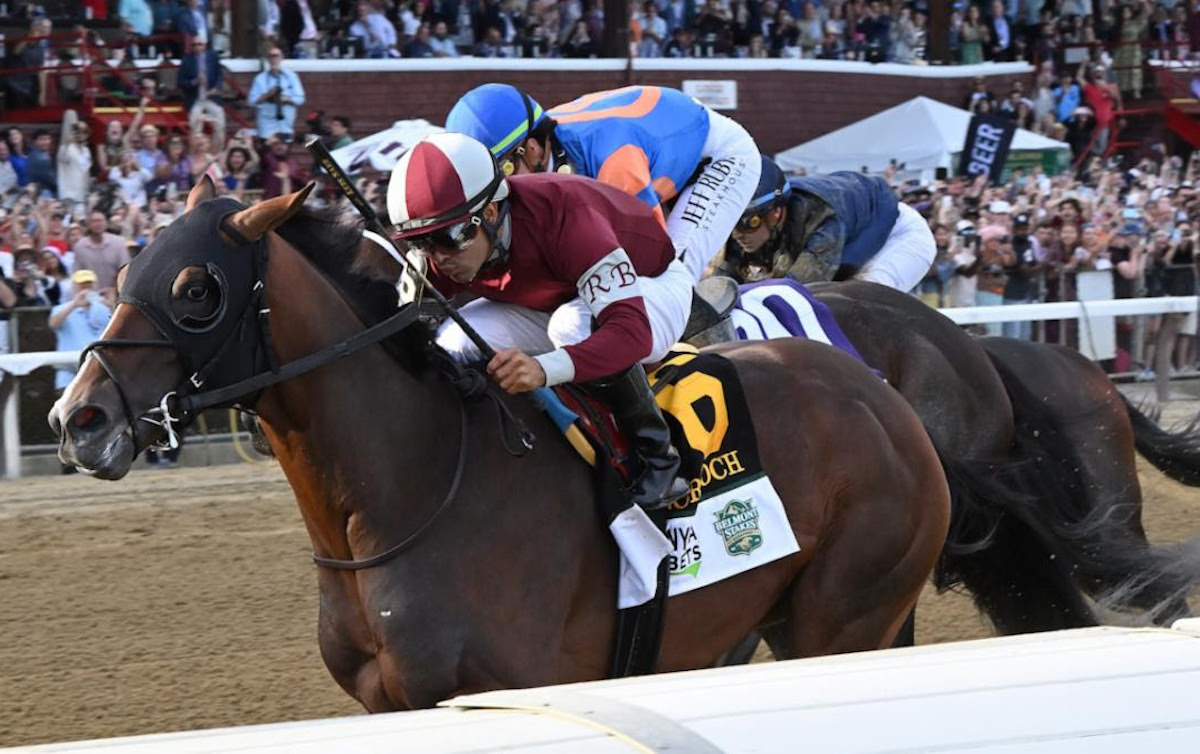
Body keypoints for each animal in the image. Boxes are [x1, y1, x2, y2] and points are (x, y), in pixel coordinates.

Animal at [49, 180, 955, 710]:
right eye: (125, 269)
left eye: (196, 289)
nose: (76, 419)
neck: (408, 491)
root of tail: (883, 395)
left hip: (844, 619)